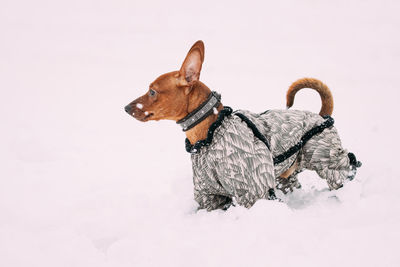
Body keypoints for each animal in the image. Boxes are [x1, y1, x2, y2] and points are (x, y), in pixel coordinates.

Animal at [124, 40, 360, 211]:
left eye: (152, 91)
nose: (126, 107)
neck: (210, 134)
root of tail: (321, 116)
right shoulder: (210, 195)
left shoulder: (254, 191)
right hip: (287, 177)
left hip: (328, 161)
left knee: (344, 171)